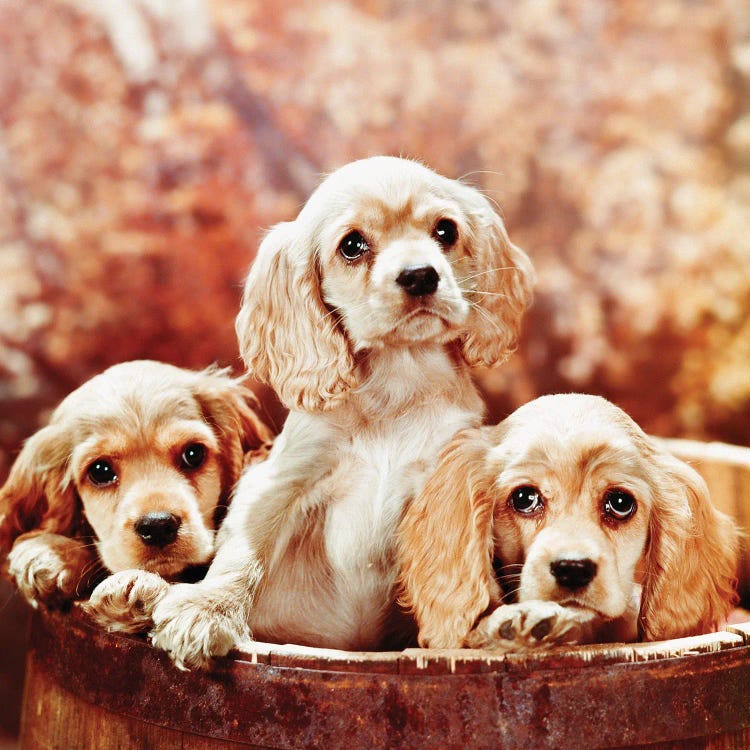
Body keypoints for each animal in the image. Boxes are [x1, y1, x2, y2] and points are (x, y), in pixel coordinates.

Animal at [142, 154, 536, 668]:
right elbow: (244, 551)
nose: (421, 275)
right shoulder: (282, 482)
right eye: (352, 245)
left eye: (445, 230)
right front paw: (206, 611)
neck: (398, 385)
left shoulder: (441, 483)